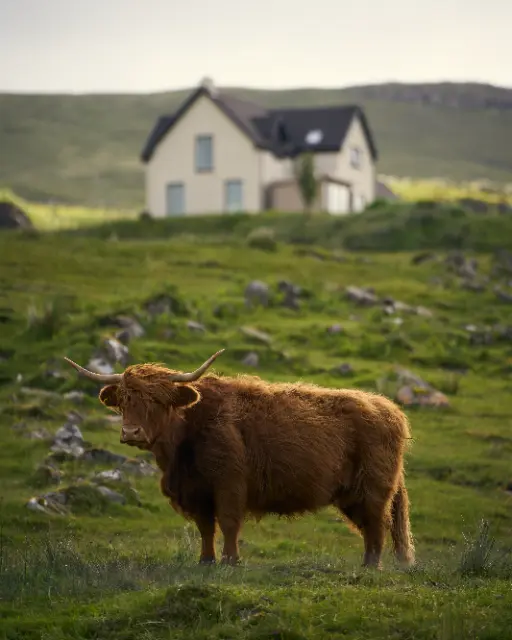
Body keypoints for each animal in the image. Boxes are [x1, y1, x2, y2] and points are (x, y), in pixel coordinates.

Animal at [63, 350, 415, 569]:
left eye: (158, 399)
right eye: (123, 400)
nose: (131, 432)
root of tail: (389, 409)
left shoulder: (229, 484)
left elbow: (229, 523)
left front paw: (230, 561)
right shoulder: (196, 492)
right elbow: (206, 528)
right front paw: (205, 561)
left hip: (373, 490)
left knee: (377, 524)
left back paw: (370, 566)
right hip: (352, 495)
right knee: (371, 526)